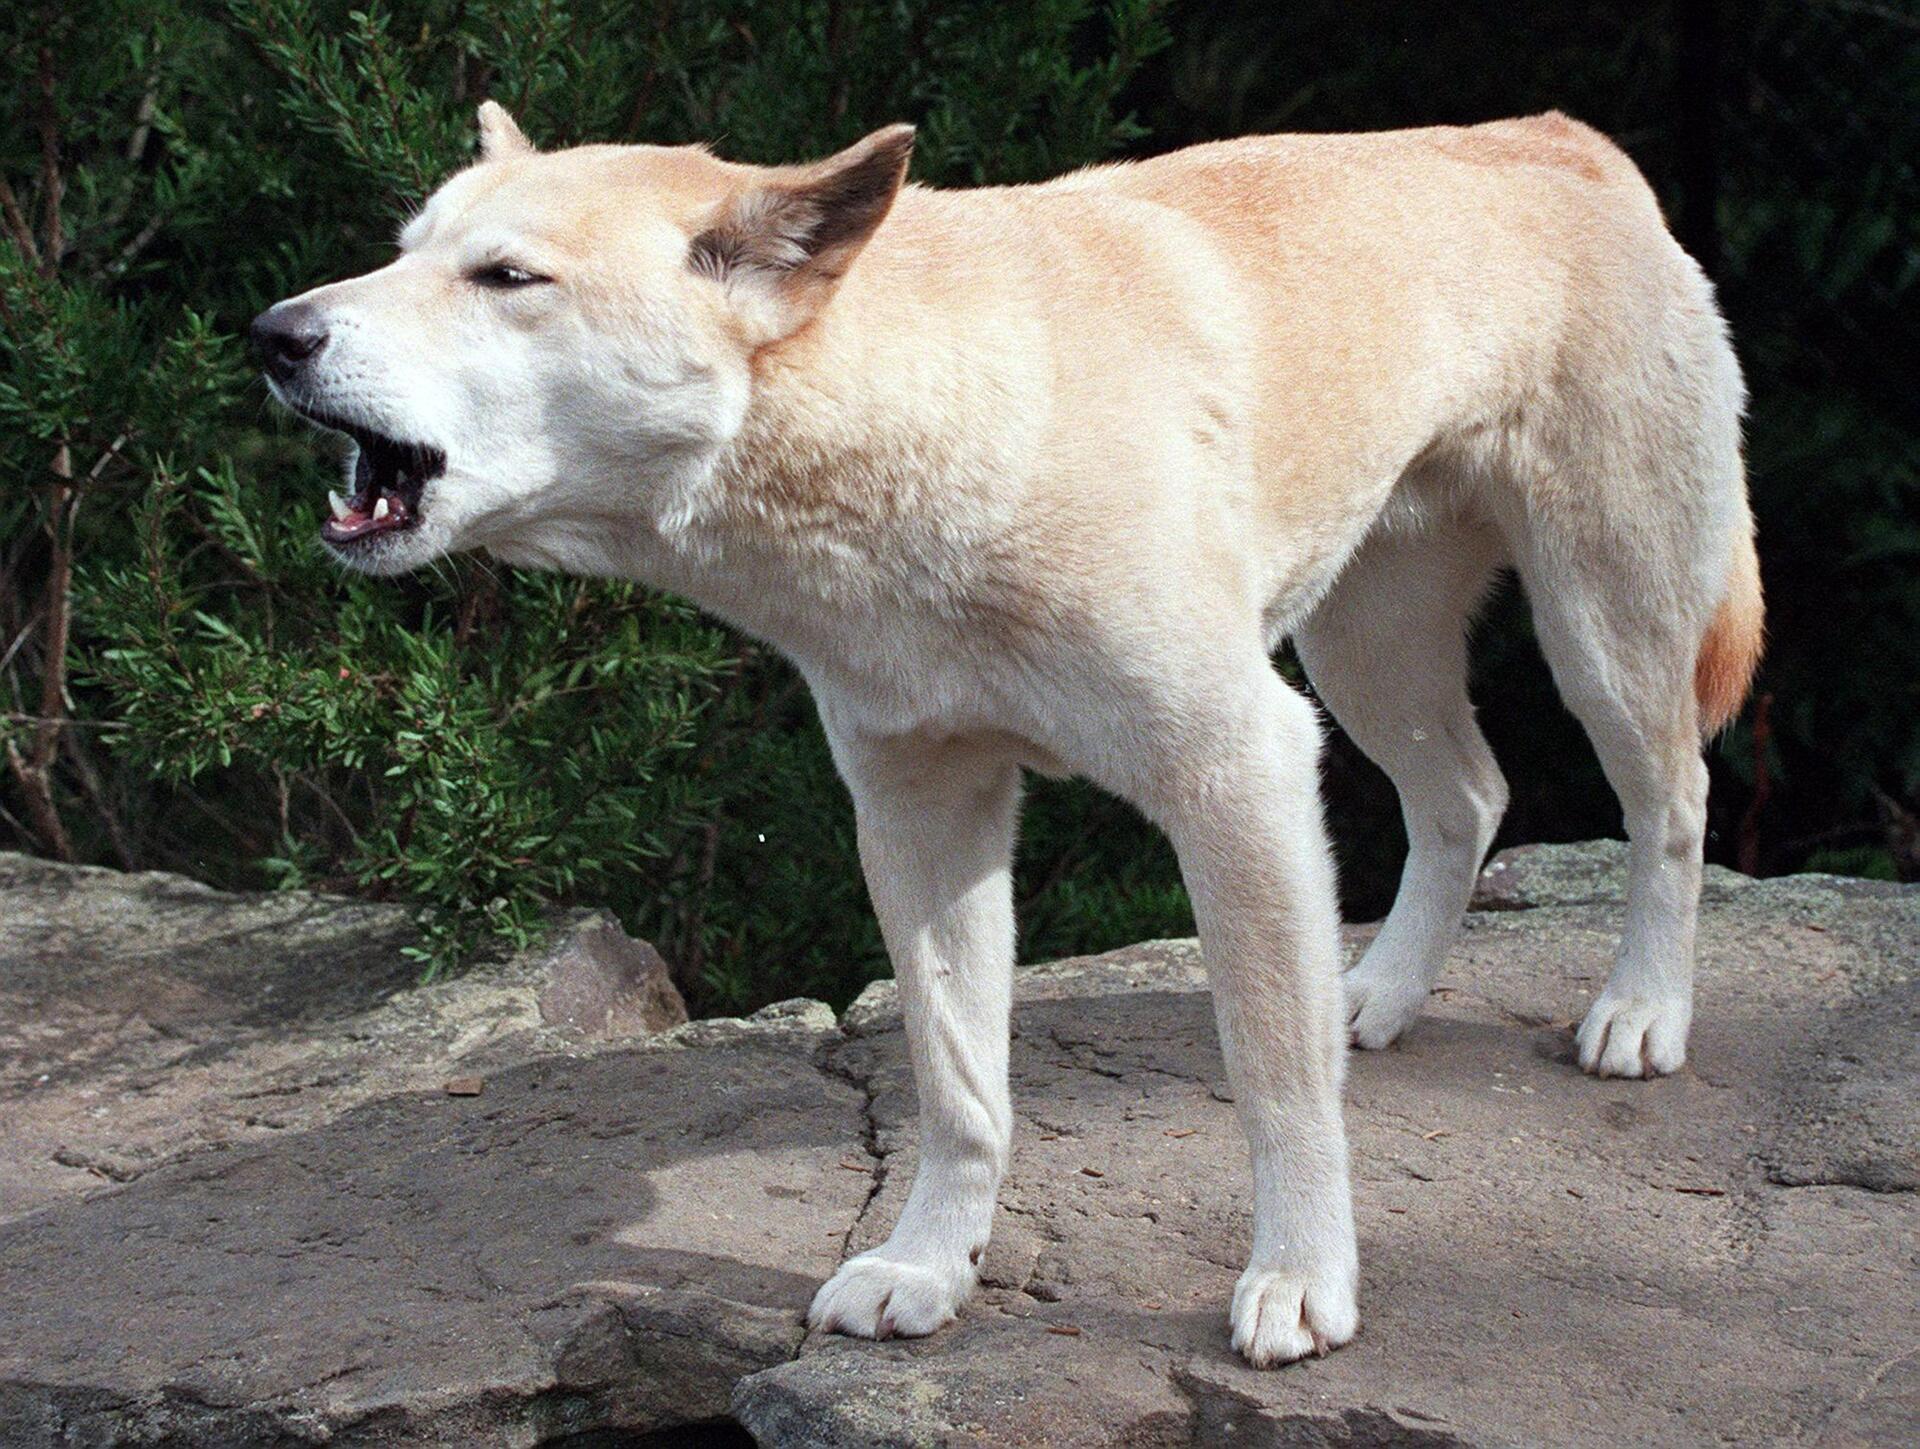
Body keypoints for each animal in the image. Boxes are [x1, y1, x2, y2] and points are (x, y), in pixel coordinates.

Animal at [255, 105, 1758, 1374]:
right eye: (405, 249)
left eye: (507, 277)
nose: (273, 331)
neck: (932, 416)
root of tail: (1560, 136)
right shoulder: (923, 813)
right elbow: (960, 1086)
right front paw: (928, 1269)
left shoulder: (1238, 769)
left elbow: (1274, 1082)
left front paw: (1300, 1282)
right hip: (1368, 650)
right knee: (1469, 796)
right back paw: (1378, 991)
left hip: (1601, 630)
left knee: (1672, 804)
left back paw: (1641, 1010)